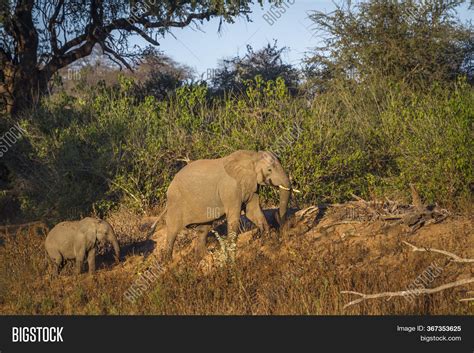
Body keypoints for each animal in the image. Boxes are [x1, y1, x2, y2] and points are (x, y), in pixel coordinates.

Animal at [154, 148, 292, 258]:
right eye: (269, 170)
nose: (281, 232)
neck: (252, 156)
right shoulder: (230, 188)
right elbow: (234, 216)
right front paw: (232, 251)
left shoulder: (251, 185)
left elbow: (253, 211)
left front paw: (268, 241)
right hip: (176, 201)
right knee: (172, 231)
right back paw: (167, 262)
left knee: (204, 228)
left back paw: (203, 256)